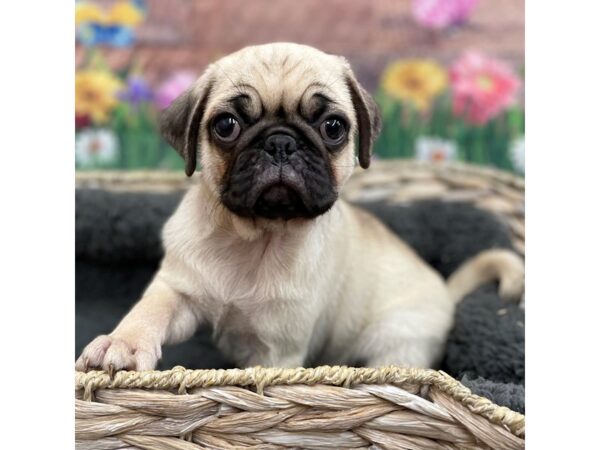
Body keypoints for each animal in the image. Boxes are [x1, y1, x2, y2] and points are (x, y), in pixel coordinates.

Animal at [76, 43, 524, 372]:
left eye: (333, 127)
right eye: (226, 126)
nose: (280, 142)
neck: (254, 236)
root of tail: (446, 292)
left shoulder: (276, 350)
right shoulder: (178, 289)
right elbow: (149, 310)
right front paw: (122, 343)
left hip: (397, 340)